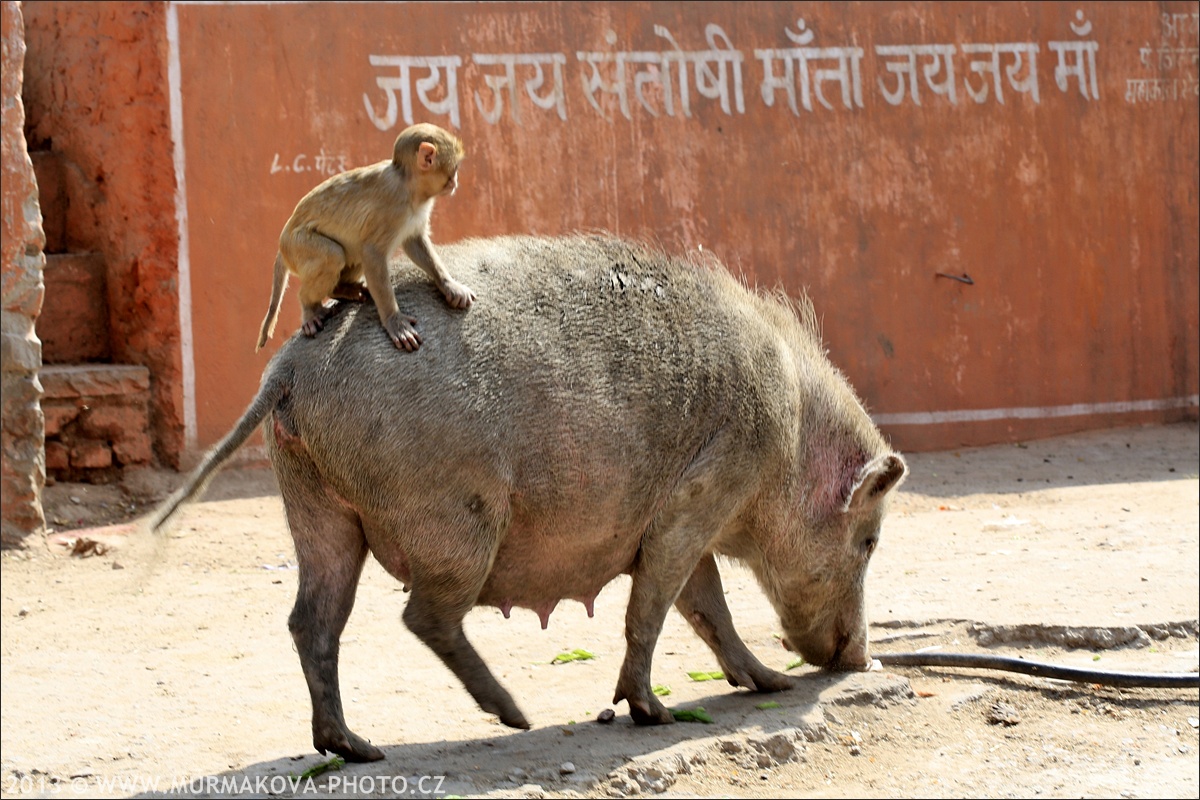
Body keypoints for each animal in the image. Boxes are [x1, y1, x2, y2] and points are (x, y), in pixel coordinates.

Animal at [150, 232, 902, 762]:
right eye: (869, 540)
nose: (863, 657)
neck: (793, 435)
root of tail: (288, 370)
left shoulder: (678, 519)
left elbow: (704, 604)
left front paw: (769, 684)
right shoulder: (704, 492)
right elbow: (657, 607)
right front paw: (652, 714)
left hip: (315, 504)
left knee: (313, 620)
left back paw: (356, 749)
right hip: (453, 518)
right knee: (423, 616)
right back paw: (516, 718)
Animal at [256, 121, 472, 350]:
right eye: (454, 168)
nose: (456, 182)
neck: (408, 185)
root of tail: (282, 243)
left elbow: (415, 243)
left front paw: (450, 285)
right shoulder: (392, 209)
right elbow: (373, 253)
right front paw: (394, 321)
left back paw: (342, 290)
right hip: (296, 246)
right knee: (333, 254)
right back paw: (309, 307)